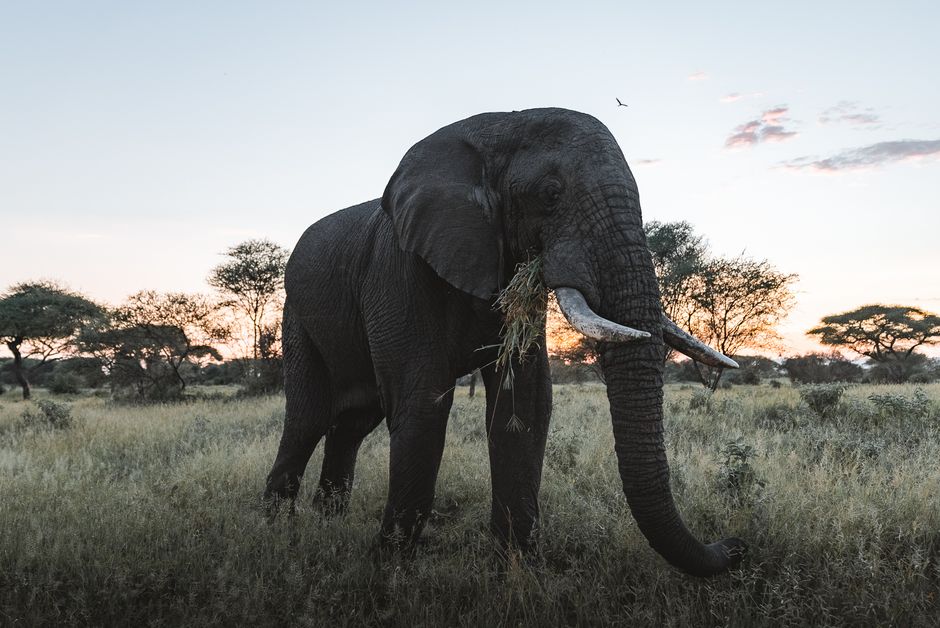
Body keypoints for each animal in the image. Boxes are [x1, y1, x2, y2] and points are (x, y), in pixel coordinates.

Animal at [263, 107, 747, 577]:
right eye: (551, 194)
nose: (734, 545)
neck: (497, 130)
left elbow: (526, 404)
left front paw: (518, 571)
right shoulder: (398, 272)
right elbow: (422, 406)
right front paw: (392, 571)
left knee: (352, 423)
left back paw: (328, 523)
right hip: (296, 315)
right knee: (308, 417)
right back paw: (277, 531)